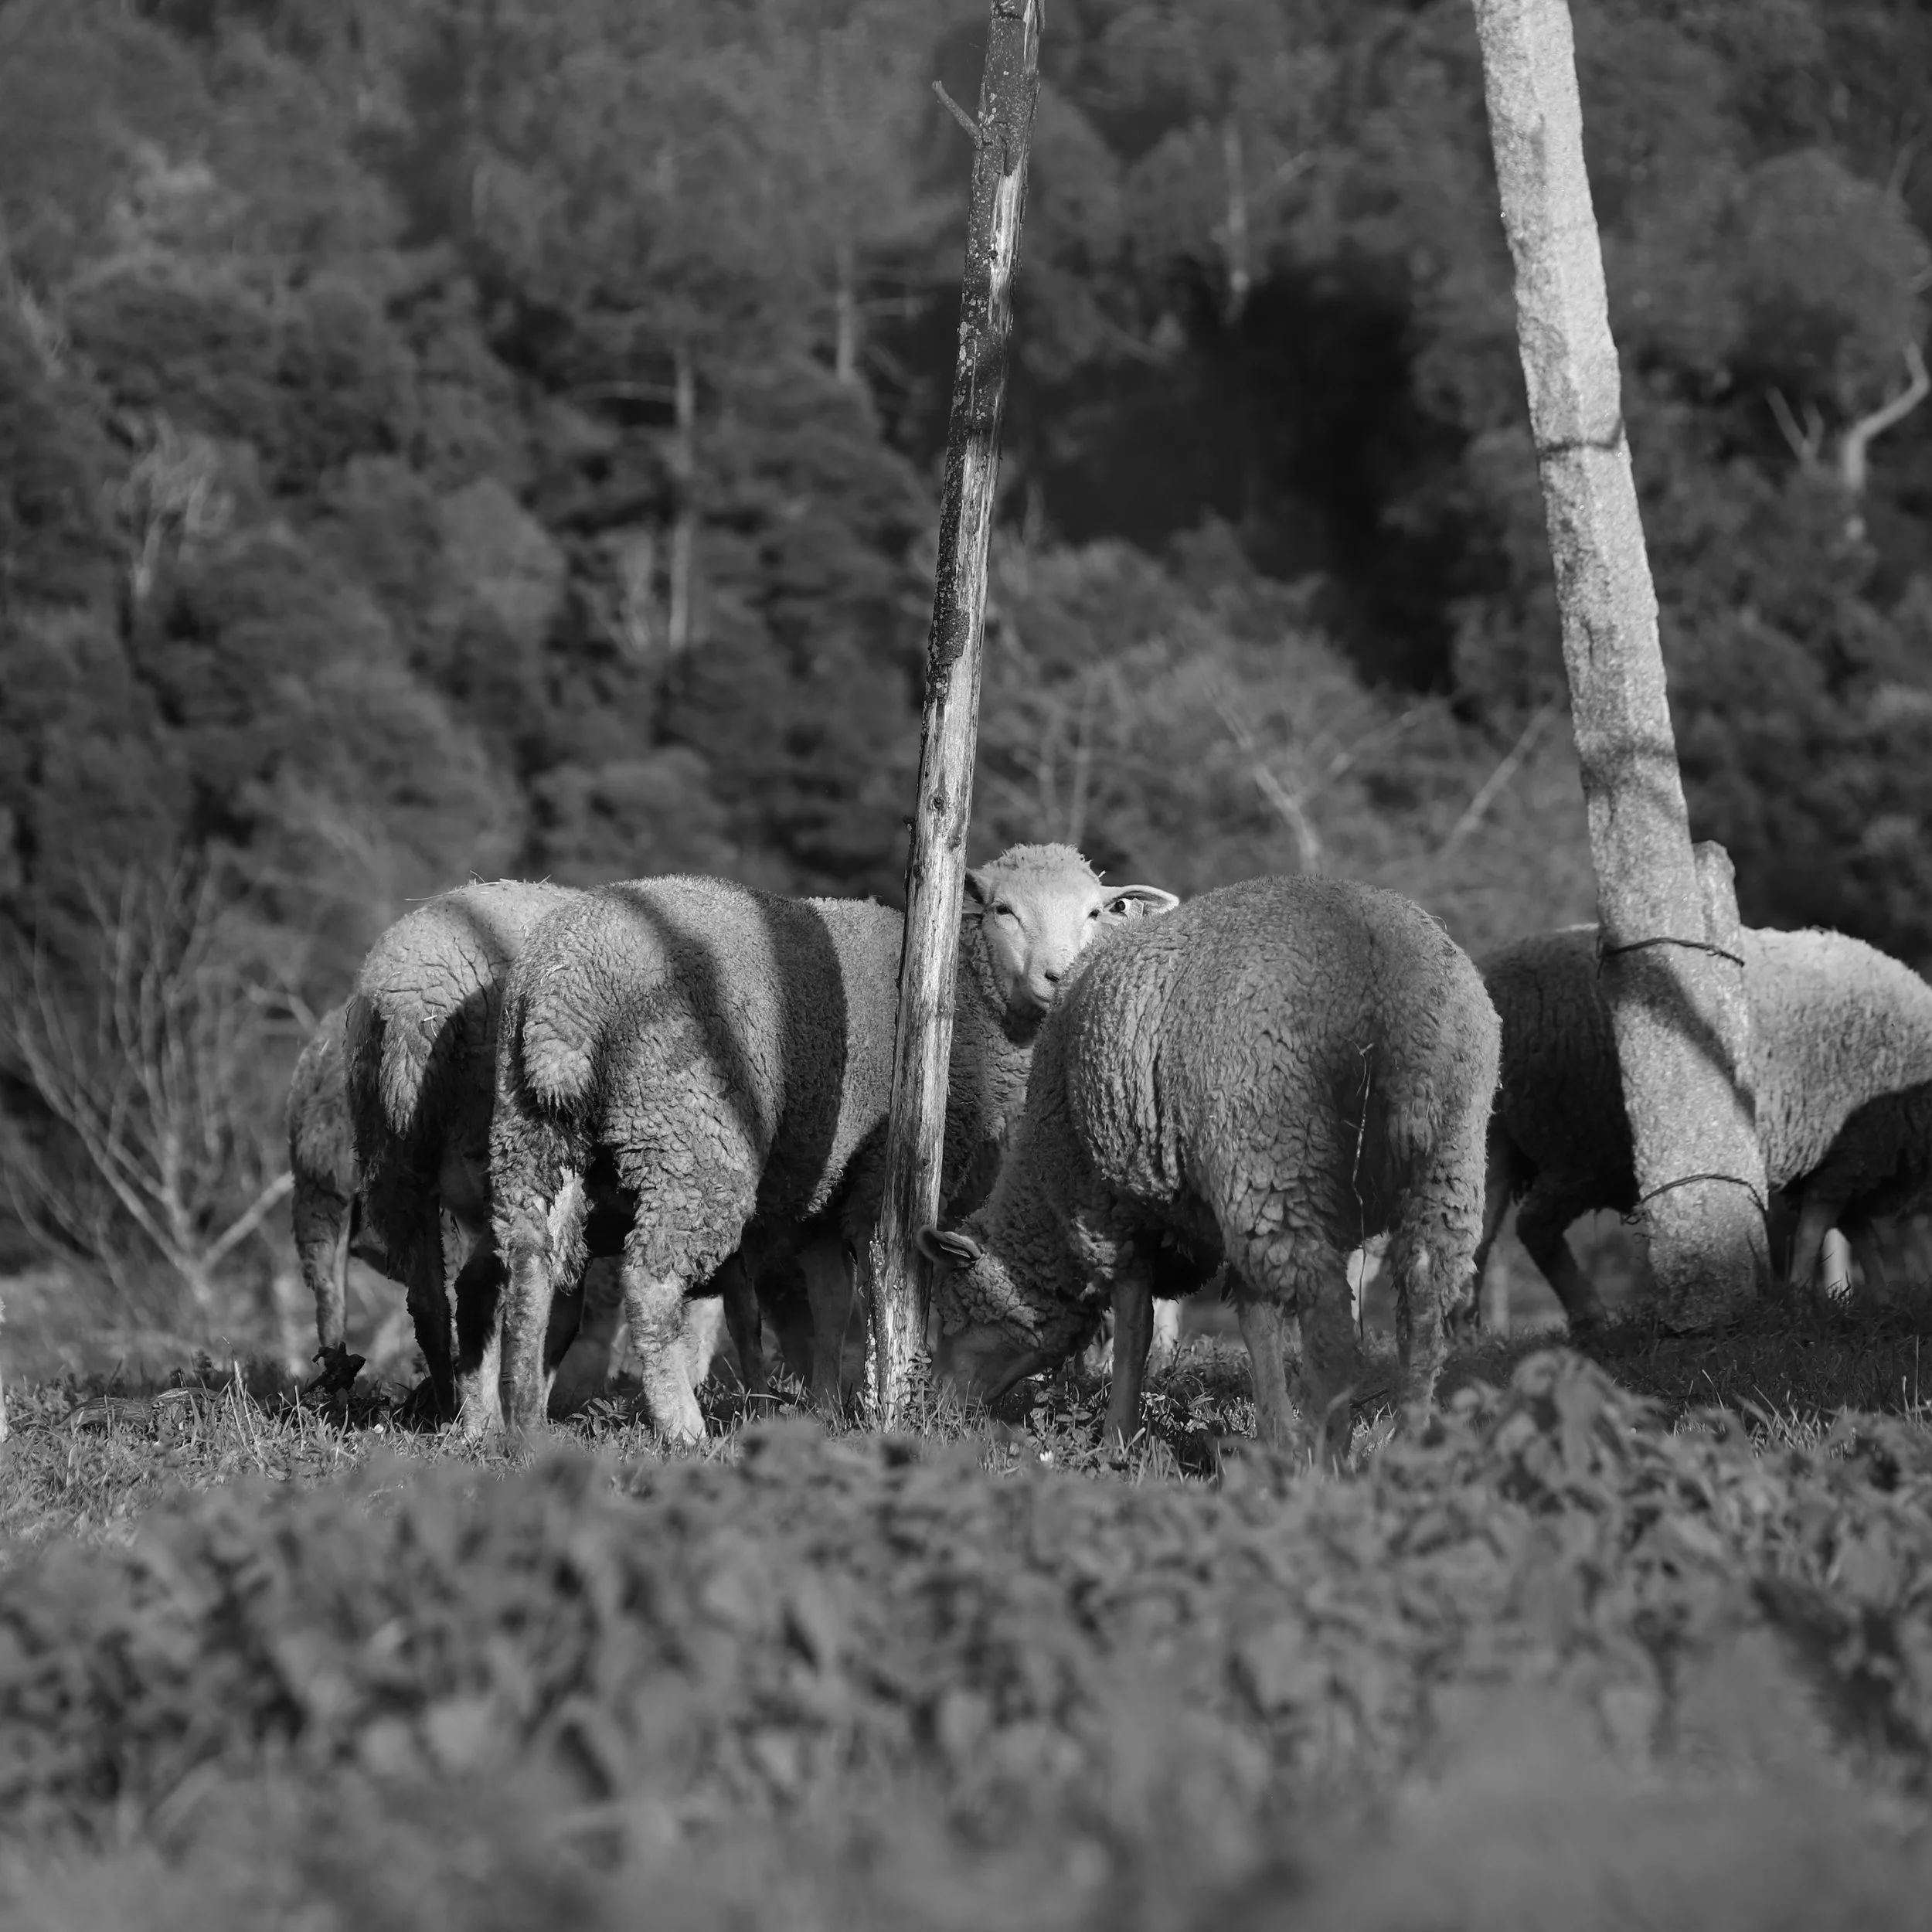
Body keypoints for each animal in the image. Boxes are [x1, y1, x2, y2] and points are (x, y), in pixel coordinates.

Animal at [485, 846, 1178, 1442]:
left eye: (1095, 913)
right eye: (1005, 909)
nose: (1059, 976)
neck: (968, 1002)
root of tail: (566, 995)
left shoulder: (824, 1191)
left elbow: (831, 1302)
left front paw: (824, 1409)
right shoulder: (877, 1183)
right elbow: (881, 1295)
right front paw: (882, 1396)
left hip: (530, 1130)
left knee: (530, 1270)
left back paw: (525, 1426)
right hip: (688, 1138)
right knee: (650, 1282)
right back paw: (683, 1429)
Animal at [919, 875, 1502, 1465]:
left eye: (952, 1312)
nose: (940, 1410)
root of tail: (1385, 973)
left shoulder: (1114, 1209)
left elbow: (1137, 1328)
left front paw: (1118, 1439)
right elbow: (1254, 1316)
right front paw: (1272, 1429)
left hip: (1270, 1148)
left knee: (1332, 1319)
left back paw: (1327, 1454)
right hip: (1448, 1160)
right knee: (1424, 1302)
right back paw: (1411, 1443)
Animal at [1474, 922, 1932, 1331]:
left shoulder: (1856, 1162)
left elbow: (1863, 1237)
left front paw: (1880, 1302)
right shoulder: (1852, 1153)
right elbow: (1816, 1233)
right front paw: (1802, 1299)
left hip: (1500, 1138)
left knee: (1479, 1233)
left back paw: (1466, 1333)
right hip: (1578, 1142)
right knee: (1535, 1228)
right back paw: (1591, 1316)